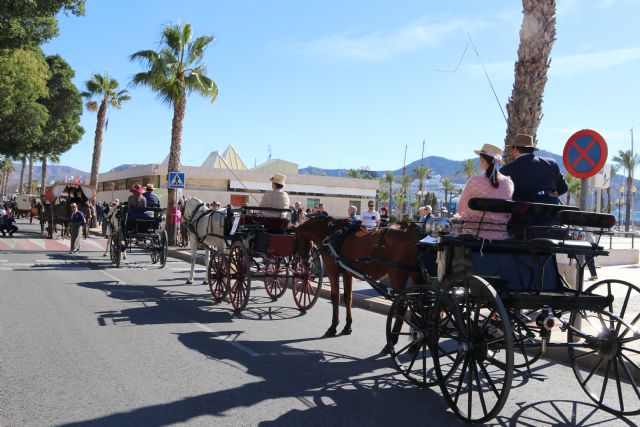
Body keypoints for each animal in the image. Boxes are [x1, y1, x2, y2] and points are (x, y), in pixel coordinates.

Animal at [296, 216, 424, 340]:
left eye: (296, 241)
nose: (307, 263)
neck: (332, 233)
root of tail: (411, 231)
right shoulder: (347, 273)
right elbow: (348, 298)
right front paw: (347, 327)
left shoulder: (333, 272)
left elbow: (335, 298)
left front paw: (333, 327)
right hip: (415, 275)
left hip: (397, 276)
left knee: (402, 305)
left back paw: (392, 340)